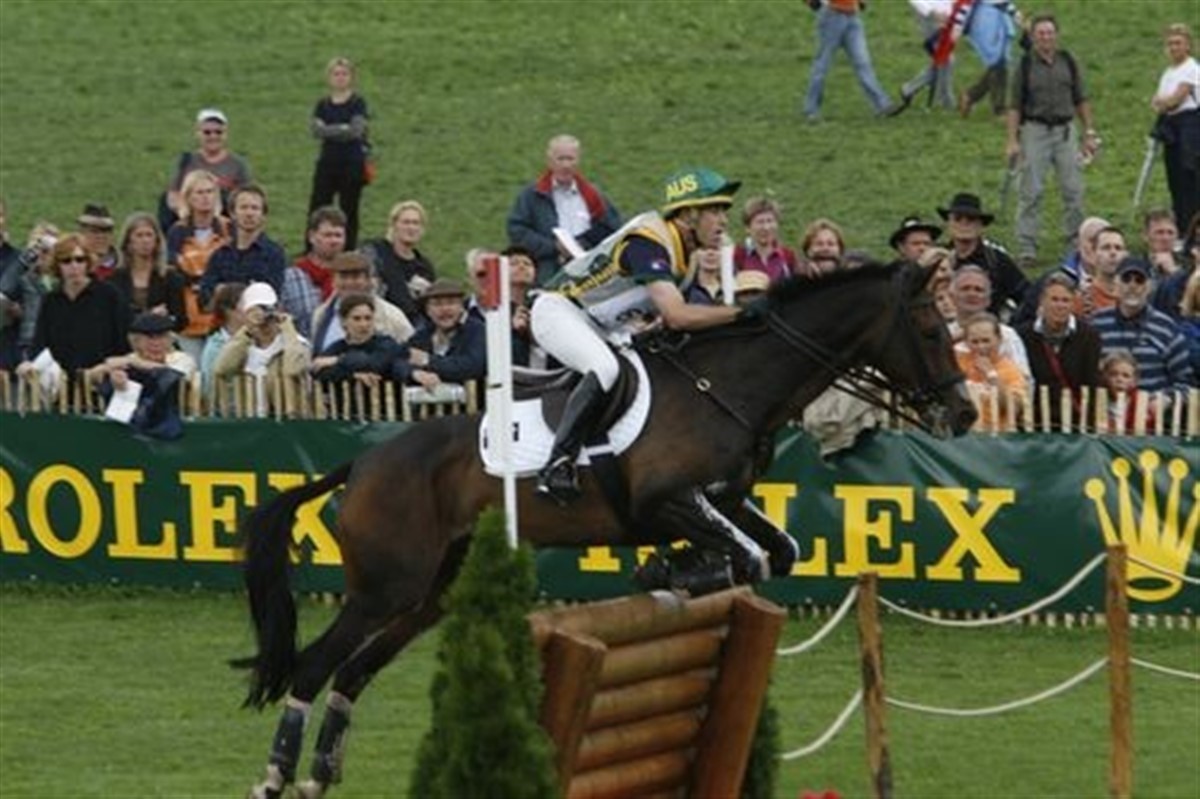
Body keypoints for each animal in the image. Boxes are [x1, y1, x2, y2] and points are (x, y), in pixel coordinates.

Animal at [236, 260, 976, 798]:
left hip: (430, 594)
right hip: (386, 587)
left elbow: (775, 553)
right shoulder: (667, 500)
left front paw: (677, 571)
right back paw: (275, 775)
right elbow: (744, 556)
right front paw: (671, 568)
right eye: (931, 332)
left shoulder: (726, 501)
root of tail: (363, 460)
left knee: (353, 670)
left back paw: (319, 774)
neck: (729, 385)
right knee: (314, 665)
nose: (966, 413)